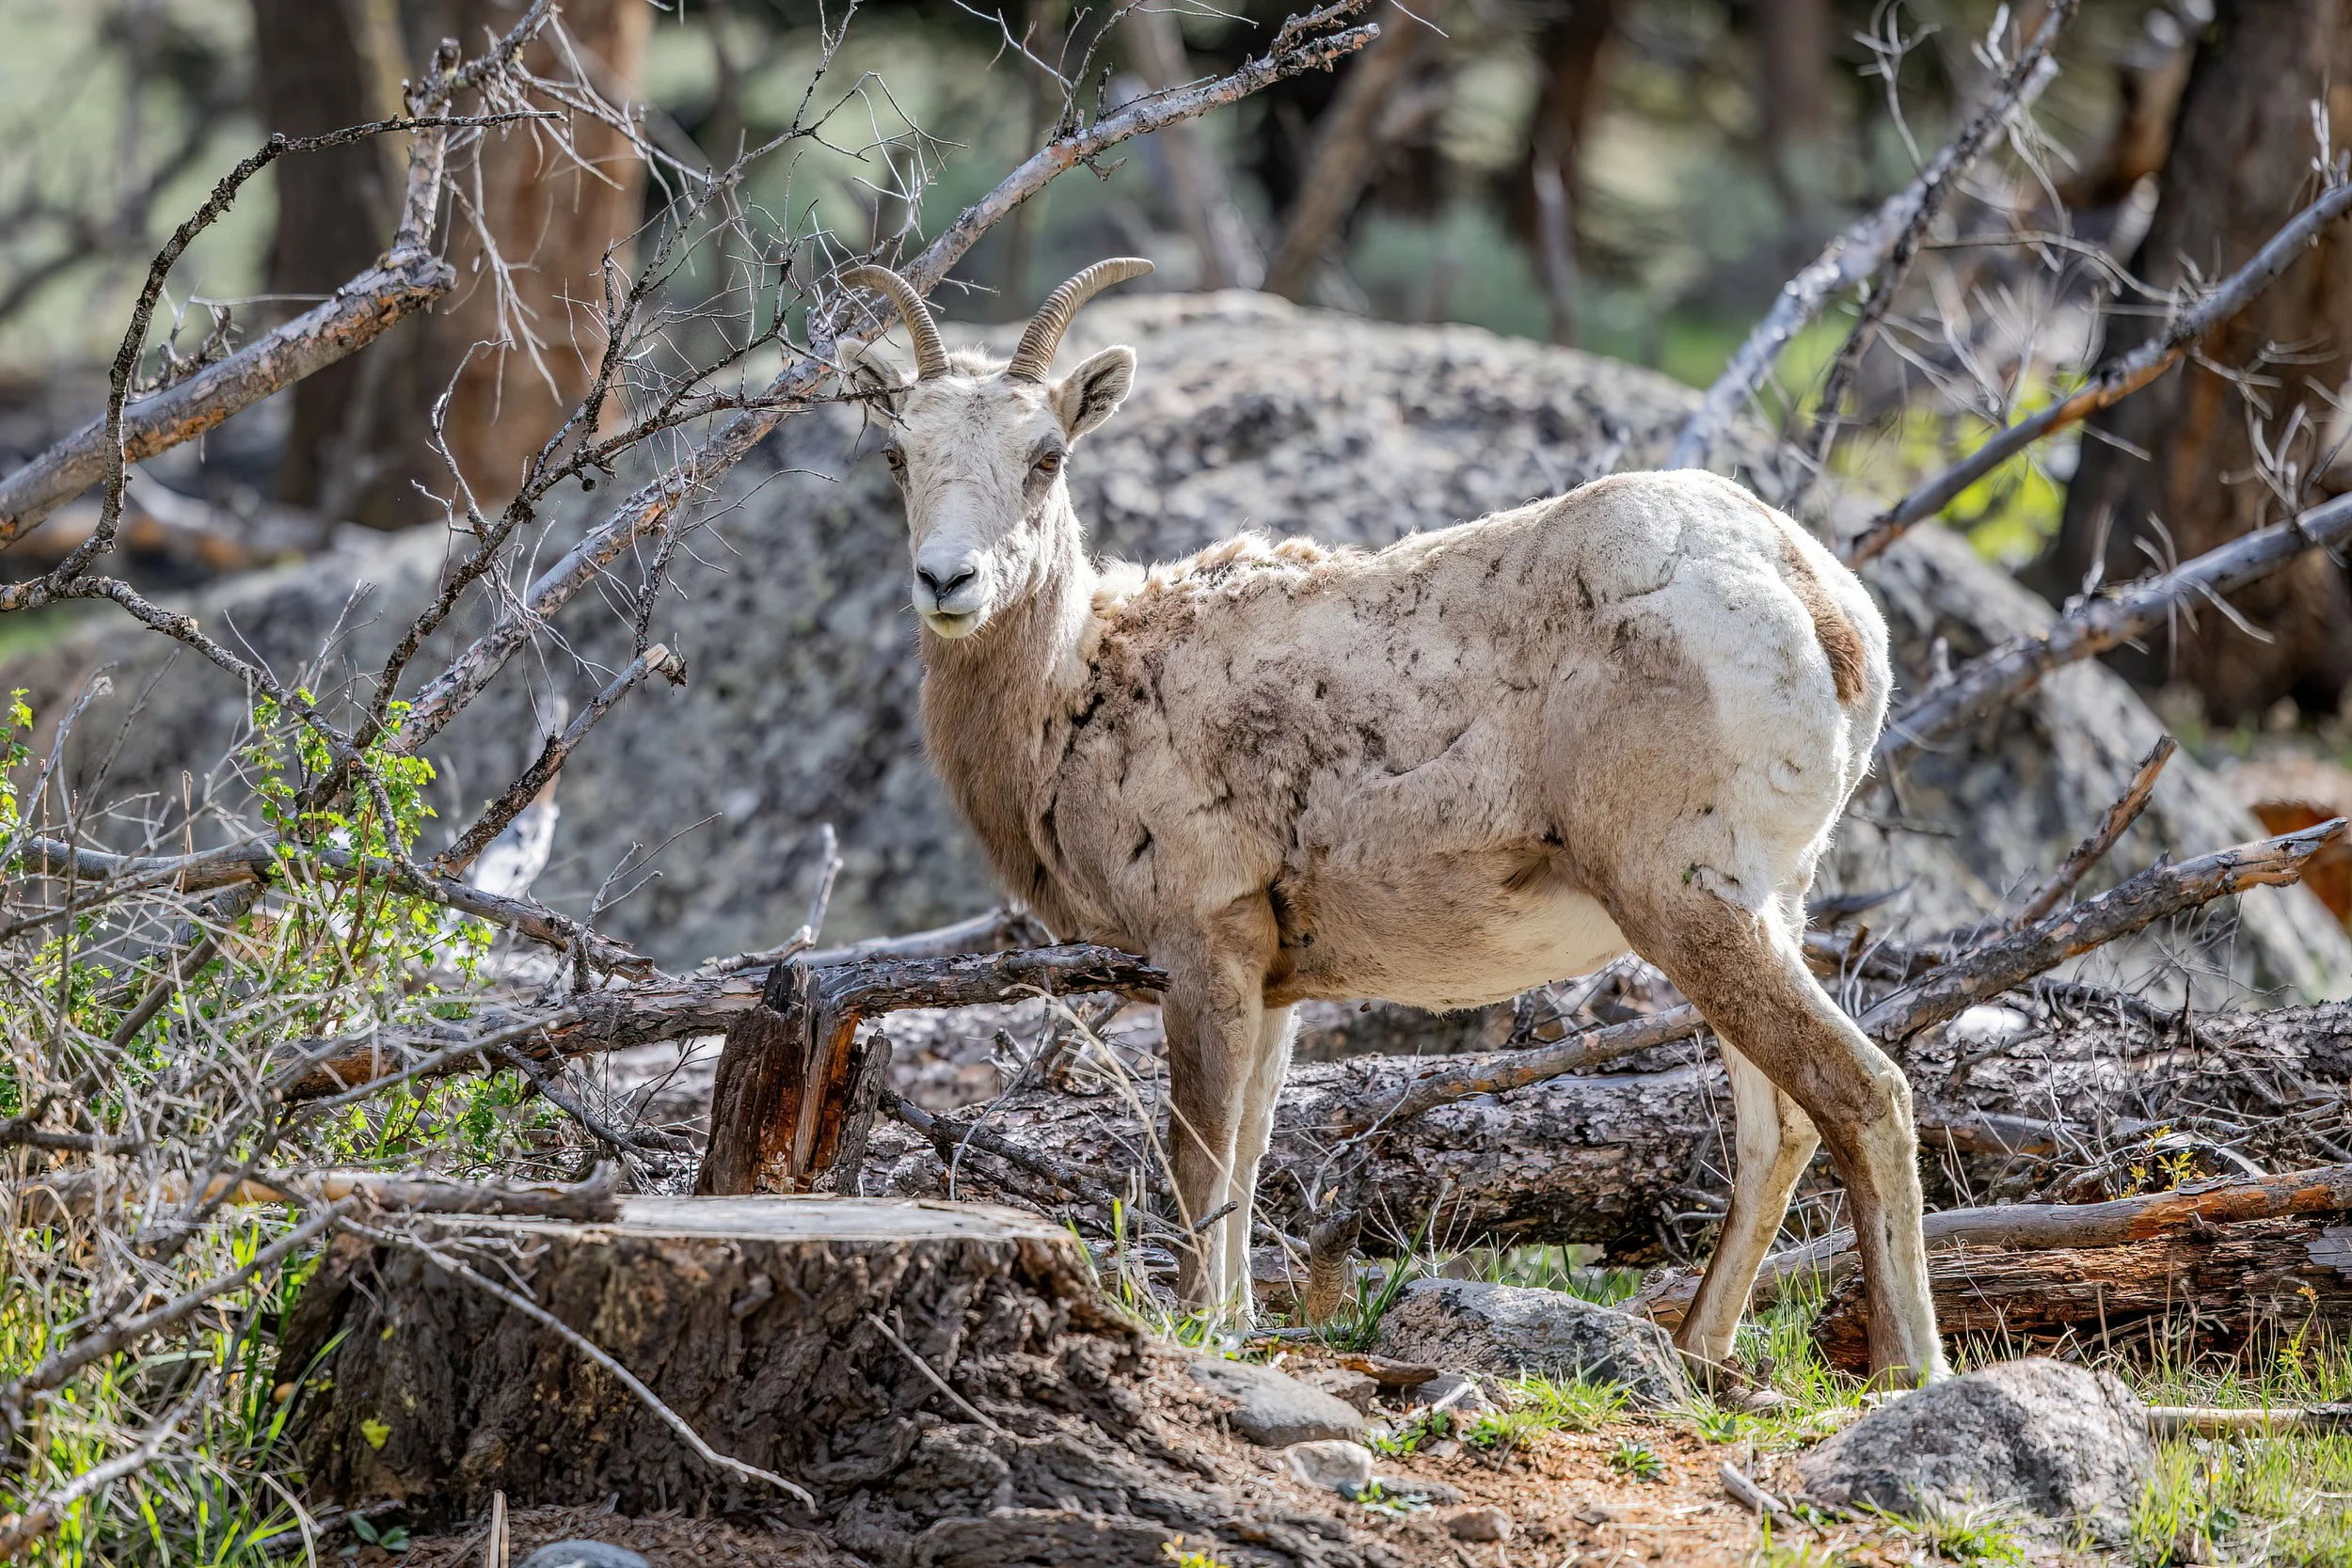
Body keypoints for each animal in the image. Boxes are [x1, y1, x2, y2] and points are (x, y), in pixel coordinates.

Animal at [840, 258, 1944, 1385]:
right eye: (896, 452)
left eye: (1046, 455)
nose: (948, 581)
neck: (1083, 679)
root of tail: (1821, 605)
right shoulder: (1273, 975)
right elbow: (1249, 1147)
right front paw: (1237, 1320)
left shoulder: (1203, 941)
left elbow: (1198, 1150)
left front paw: (1196, 1322)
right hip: (1761, 907)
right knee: (1778, 1128)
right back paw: (1693, 1351)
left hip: (1688, 902)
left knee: (1864, 1092)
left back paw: (1910, 1366)